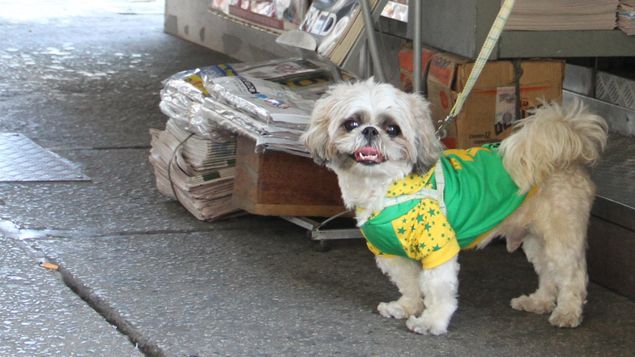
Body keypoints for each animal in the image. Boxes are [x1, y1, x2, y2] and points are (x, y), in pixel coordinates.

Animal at [304, 78, 612, 334]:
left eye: (392, 129)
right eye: (351, 123)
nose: (370, 131)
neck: (386, 187)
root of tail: (565, 153)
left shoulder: (438, 247)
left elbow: (438, 290)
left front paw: (431, 323)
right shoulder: (390, 251)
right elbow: (409, 283)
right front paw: (406, 307)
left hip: (561, 235)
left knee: (572, 277)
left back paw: (567, 313)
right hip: (536, 238)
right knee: (549, 273)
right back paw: (539, 302)